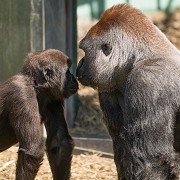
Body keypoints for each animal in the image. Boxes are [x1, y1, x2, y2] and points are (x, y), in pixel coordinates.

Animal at [0, 48, 79, 179]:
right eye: (67, 72)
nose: (74, 78)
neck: (35, 84)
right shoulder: (21, 94)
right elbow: (33, 149)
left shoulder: (53, 99)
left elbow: (59, 143)